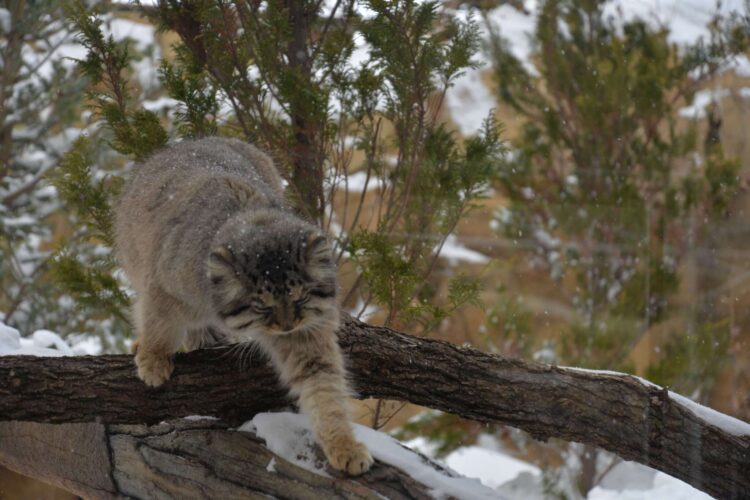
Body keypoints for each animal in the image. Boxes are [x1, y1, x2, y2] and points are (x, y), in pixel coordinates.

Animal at [116, 138, 374, 476]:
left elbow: (324, 390)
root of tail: (197, 139)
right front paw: (153, 359)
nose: (286, 326)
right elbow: (158, 324)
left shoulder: (309, 335)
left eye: (300, 298)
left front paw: (343, 445)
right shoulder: (164, 288)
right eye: (261, 307)